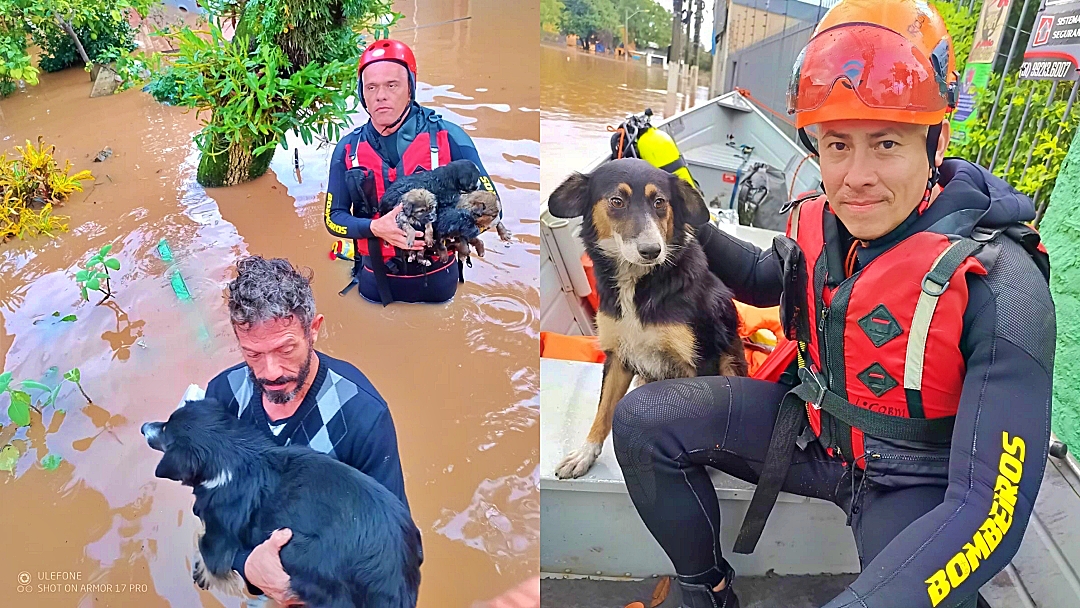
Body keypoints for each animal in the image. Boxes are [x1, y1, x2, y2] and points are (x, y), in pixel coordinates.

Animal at [136, 399, 421, 608]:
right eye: (167, 421)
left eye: (165, 431)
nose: (143, 427)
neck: (232, 455)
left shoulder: (218, 538)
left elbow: (206, 550)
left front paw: (204, 573)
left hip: (298, 552)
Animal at [544, 158, 747, 481]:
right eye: (617, 201)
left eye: (659, 202)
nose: (652, 251)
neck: (638, 282)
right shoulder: (618, 355)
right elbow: (603, 409)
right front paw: (584, 454)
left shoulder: (704, 358)